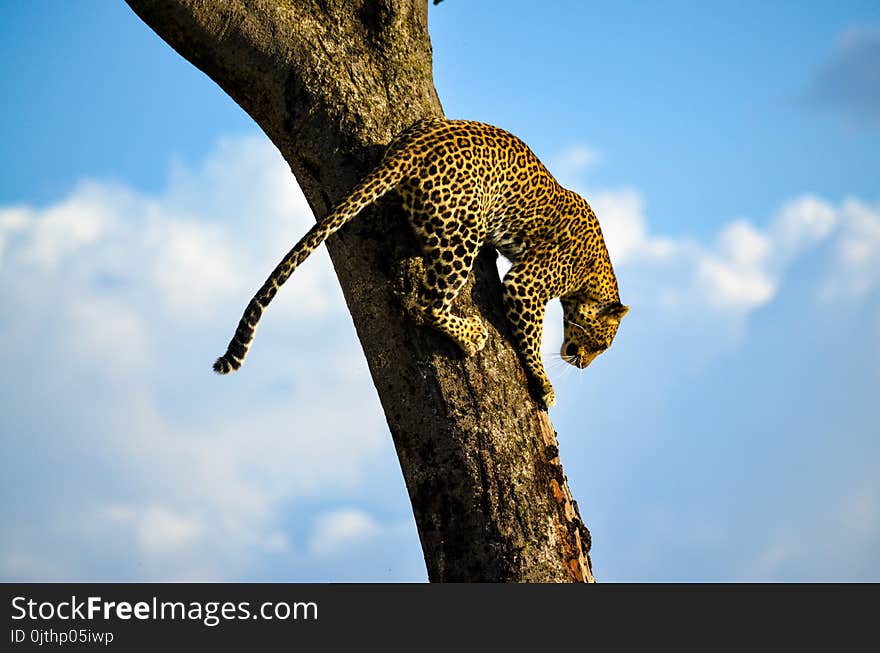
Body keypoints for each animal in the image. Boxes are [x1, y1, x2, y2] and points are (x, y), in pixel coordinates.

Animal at [212, 117, 624, 408]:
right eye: (600, 343)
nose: (583, 364)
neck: (596, 275)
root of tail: (415, 146)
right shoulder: (527, 286)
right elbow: (531, 340)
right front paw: (544, 384)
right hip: (464, 233)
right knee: (426, 304)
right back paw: (471, 335)